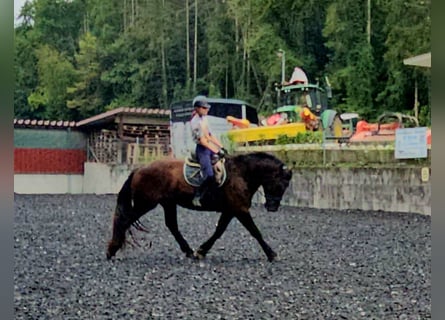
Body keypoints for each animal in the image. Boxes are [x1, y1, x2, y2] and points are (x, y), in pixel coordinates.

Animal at [106, 151, 294, 262]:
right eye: (280, 184)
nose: (272, 207)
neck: (241, 173)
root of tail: (138, 169)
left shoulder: (230, 210)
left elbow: (219, 231)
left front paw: (202, 251)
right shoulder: (240, 209)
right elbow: (255, 231)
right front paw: (271, 254)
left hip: (167, 203)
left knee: (172, 226)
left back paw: (189, 251)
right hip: (145, 204)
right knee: (125, 220)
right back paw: (111, 250)